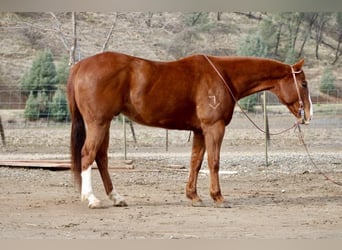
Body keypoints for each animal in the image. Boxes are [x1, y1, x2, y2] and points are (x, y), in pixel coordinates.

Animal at [66, 51, 312, 208]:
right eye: (304, 84)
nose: (308, 115)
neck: (223, 75)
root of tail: (80, 65)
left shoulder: (200, 131)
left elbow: (196, 161)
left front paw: (194, 196)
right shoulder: (214, 128)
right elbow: (214, 162)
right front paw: (218, 197)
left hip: (104, 124)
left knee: (101, 158)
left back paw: (116, 198)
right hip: (98, 123)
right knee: (87, 155)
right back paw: (92, 198)